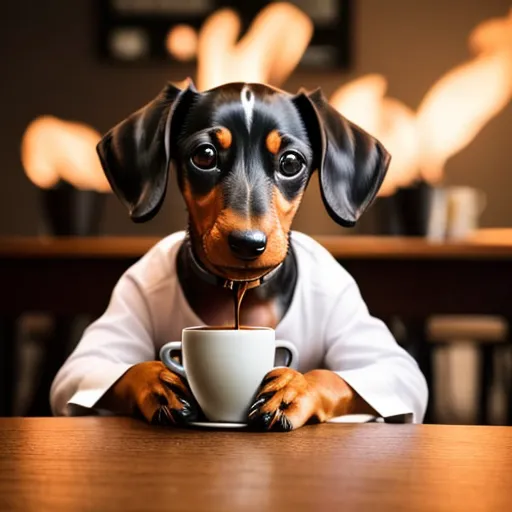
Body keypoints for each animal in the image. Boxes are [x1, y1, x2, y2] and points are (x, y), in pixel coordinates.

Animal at [94, 80, 390, 430]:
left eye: (291, 163)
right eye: (204, 155)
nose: (248, 243)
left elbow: (346, 375)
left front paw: (295, 387)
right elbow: (108, 368)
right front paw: (157, 382)